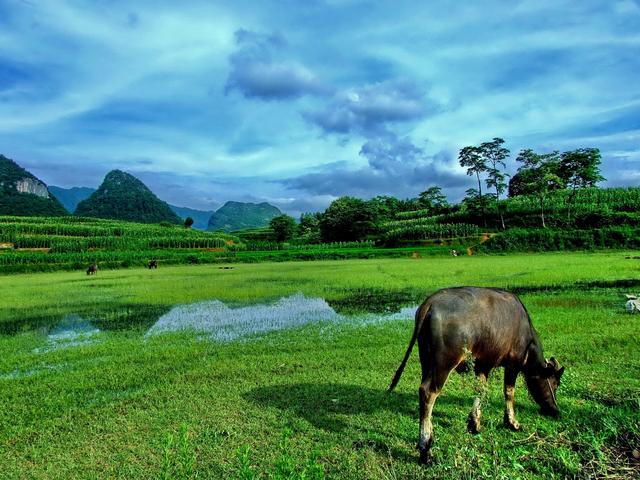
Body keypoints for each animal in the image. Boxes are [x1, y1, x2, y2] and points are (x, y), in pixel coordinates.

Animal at [390, 286, 564, 464]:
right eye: (555, 383)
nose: (555, 409)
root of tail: (430, 302)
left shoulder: (482, 366)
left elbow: (480, 390)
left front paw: (474, 424)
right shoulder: (513, 364)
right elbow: (509, 392)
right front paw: (512, 422)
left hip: (426, 361)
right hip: (443, 364)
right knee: (428, 393)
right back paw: (425, 449)